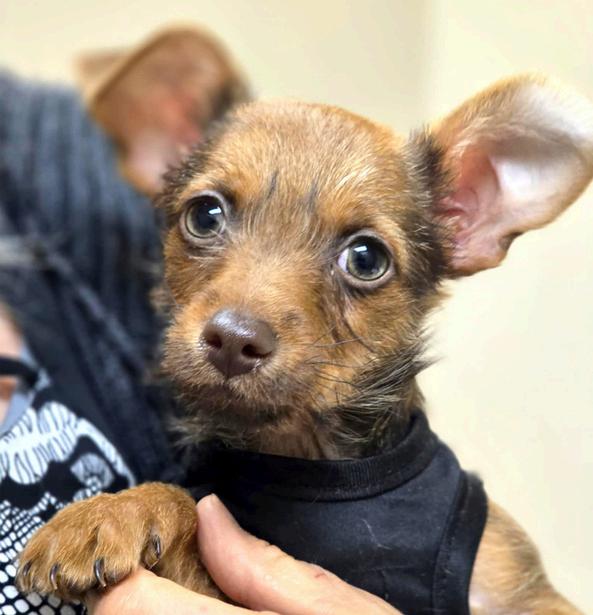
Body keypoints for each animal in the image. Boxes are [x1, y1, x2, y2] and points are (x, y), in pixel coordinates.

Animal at [17, 75, 592, 614]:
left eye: (366, 258)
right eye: (204, 216)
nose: (233, 340)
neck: (310, 460)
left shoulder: (520, 590)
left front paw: (110, 513)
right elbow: (186, 501)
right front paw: (115, 510)